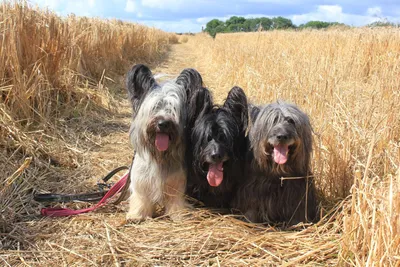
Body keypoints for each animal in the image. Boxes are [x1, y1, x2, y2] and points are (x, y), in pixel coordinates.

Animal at [126, 64, 193, 222]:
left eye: (173, 108)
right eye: (155, 107)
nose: (163, 123)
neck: (160, 155)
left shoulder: (176, 180)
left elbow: (175, 198)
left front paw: (178, 214)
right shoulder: (141, 179)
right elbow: (141, 197)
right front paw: (137, 214)